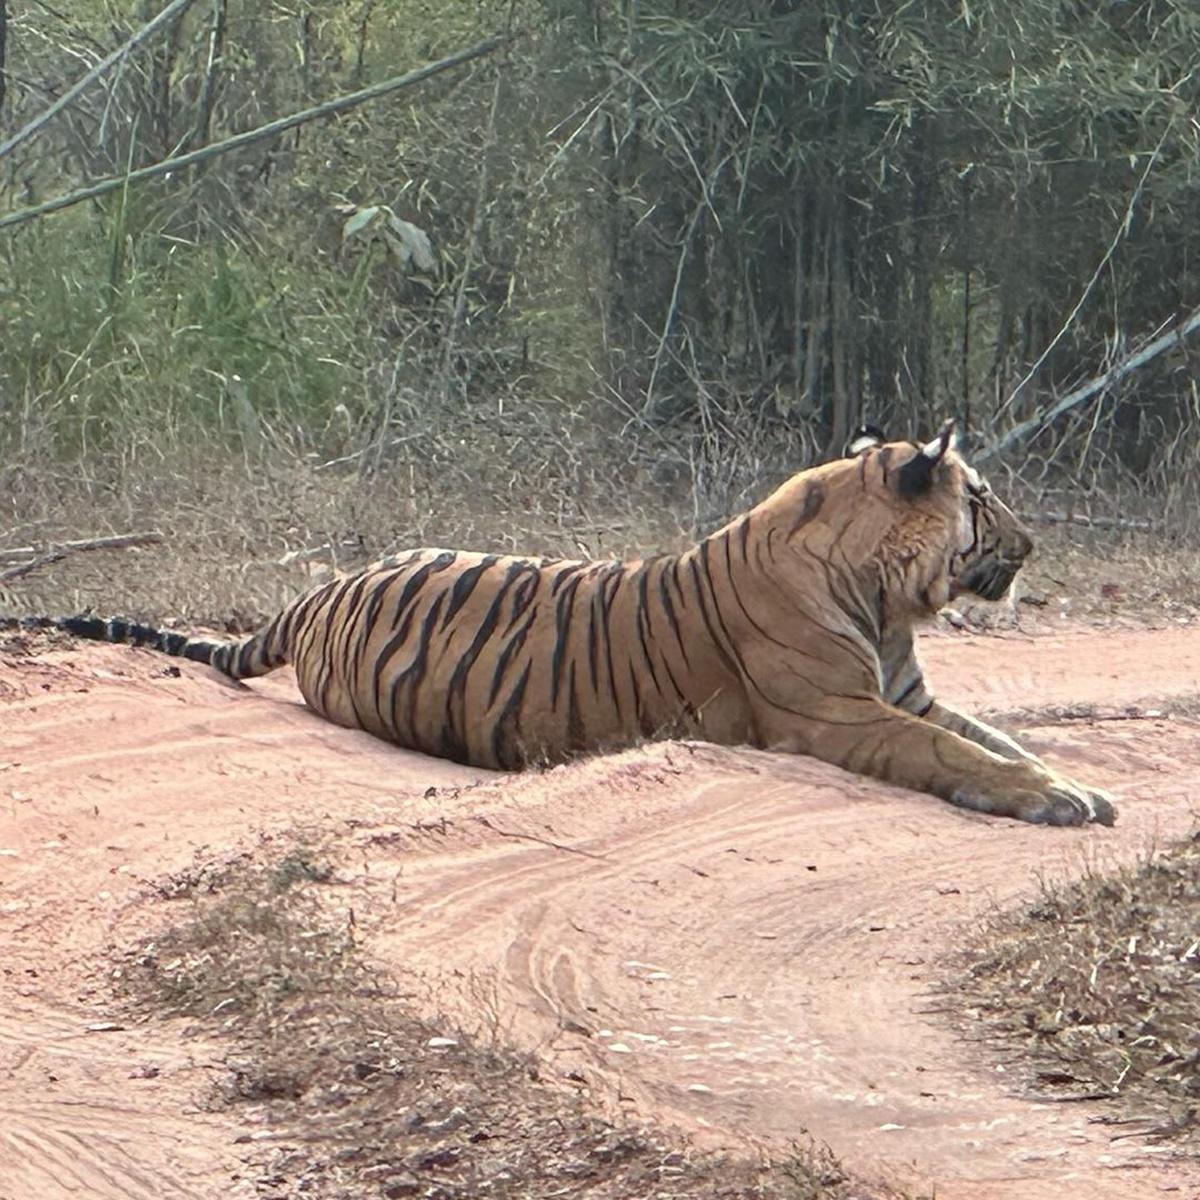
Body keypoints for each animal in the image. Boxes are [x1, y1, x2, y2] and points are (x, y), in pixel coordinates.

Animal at [7, 422, 1113, 825]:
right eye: (986, 497)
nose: (1035, 543)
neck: (884, 601)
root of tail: (326, 589)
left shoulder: (904, 694)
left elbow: (992, 737)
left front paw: (1080, 784)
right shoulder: (843, 713)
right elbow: (960, 755)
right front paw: (1060, 800)